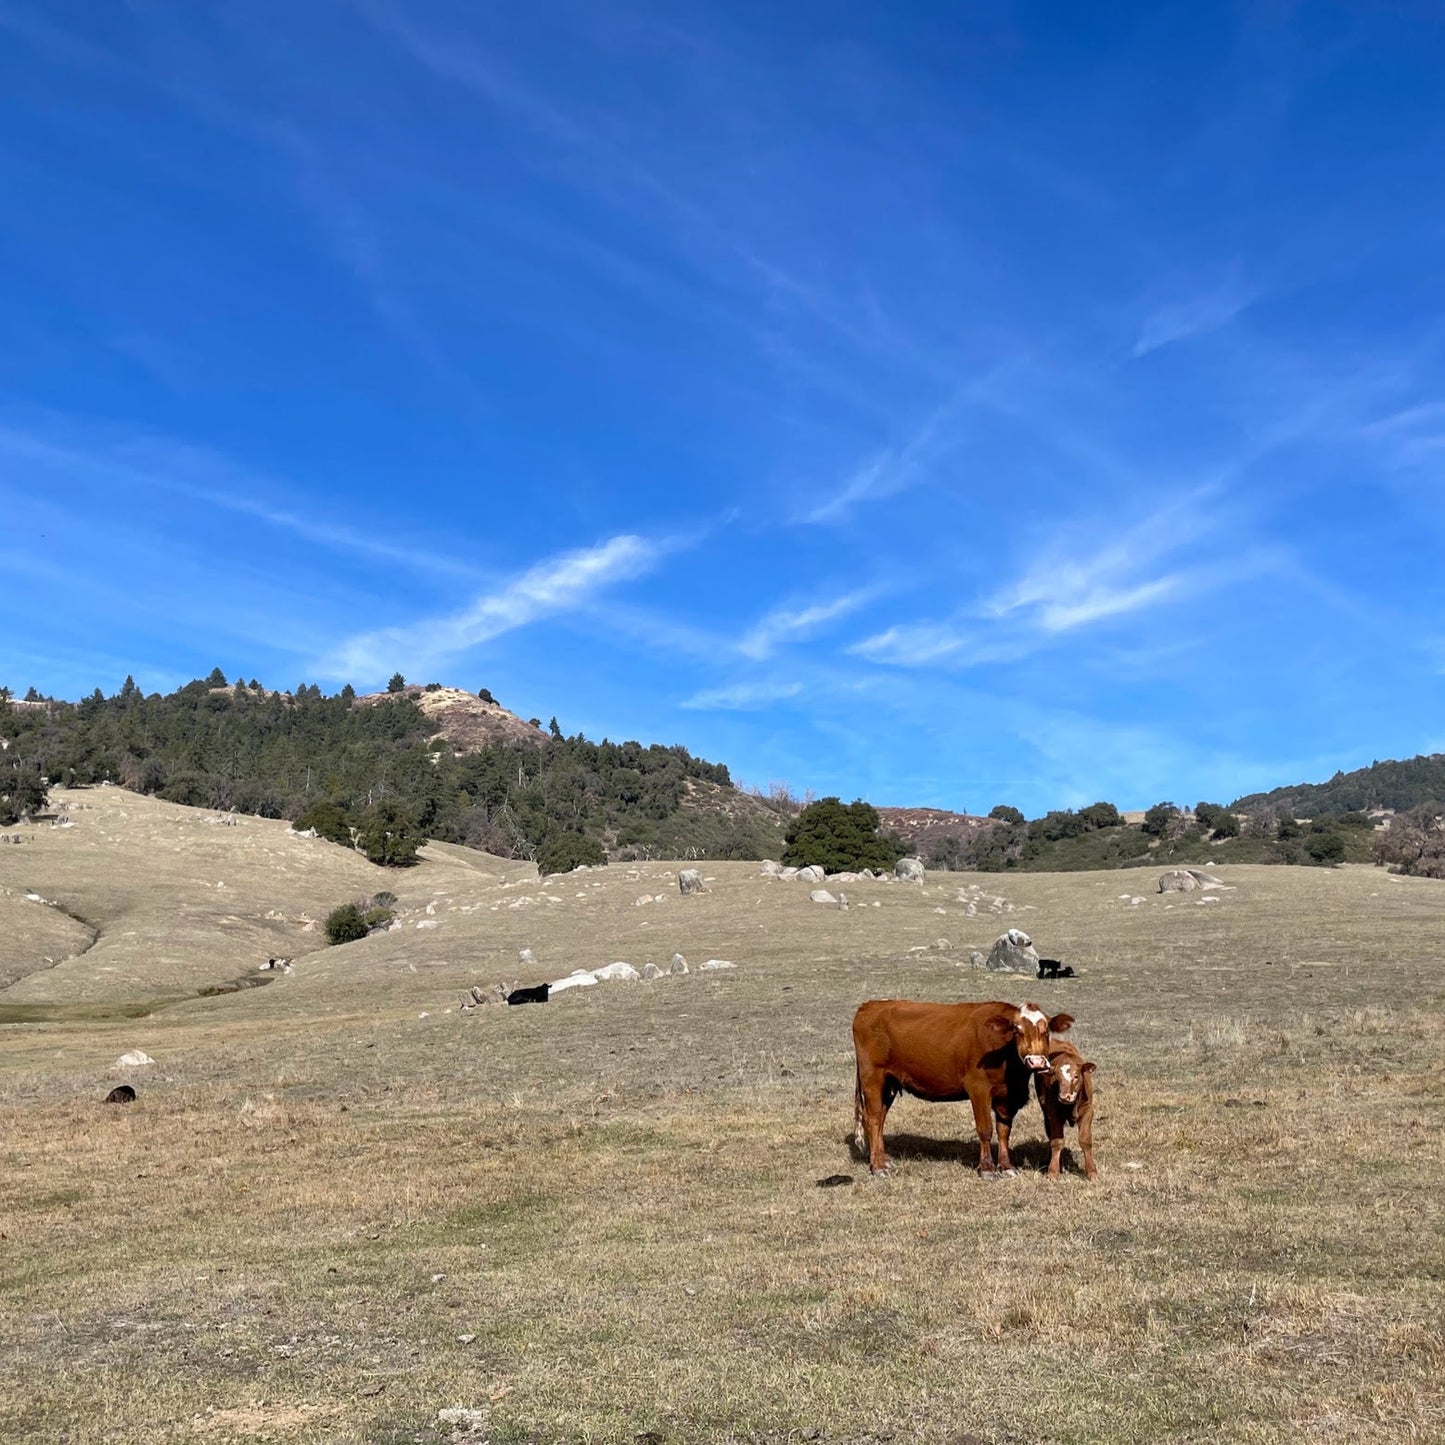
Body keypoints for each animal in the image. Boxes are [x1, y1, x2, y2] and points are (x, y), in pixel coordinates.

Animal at [852, 1000, 1073, 1178]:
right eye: (1017, 1030)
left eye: (1046, 1031)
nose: (1036, 1062)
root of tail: (869, 1005)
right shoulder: (979, 1089)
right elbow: (985, 1129)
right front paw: (987, 1169)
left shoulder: (1007, 1097)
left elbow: (1004, 1131)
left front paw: (1006, 1166)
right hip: (873, 1077)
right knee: (872, 1119)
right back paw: (877, 1166)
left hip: (889, 1082)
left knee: (880, 1118)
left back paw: (883, 1159)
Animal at [1035, 1039, 1098, 1179]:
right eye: (1057, 1078)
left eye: (1076, 1076)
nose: (1064, 1097)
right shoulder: (1053, 1112)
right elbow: (1057, 1141)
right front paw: (1053, 1171)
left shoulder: (1087, 1110)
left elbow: (1085, 1140)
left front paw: (1092, 1171)